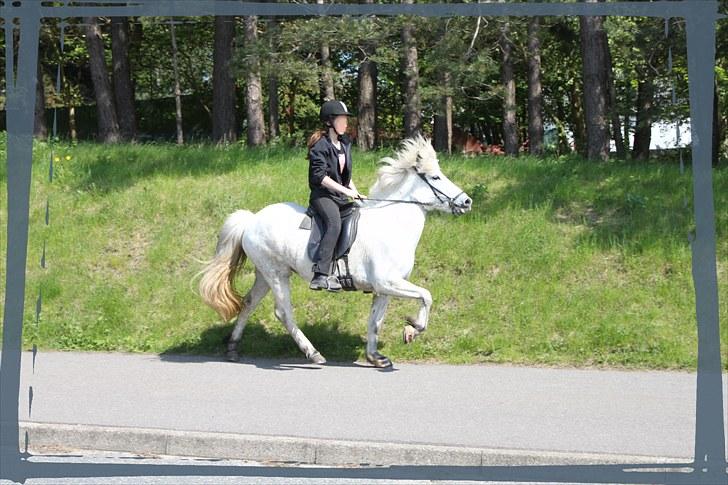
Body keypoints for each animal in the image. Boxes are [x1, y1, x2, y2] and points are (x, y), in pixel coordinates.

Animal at [198, 136, 472, 366]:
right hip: (277, 274)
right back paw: (313, 353)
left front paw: (375, 356)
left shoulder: (384, 289)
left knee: (249, 303)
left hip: (265, 274)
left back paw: (233, 347)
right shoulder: (387, 282)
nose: (467, 201)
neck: (392, 225)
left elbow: (375, 321)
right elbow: (426, 295)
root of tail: (252, 219)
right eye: (435, 177)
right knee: (283, 313)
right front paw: (413, 328)